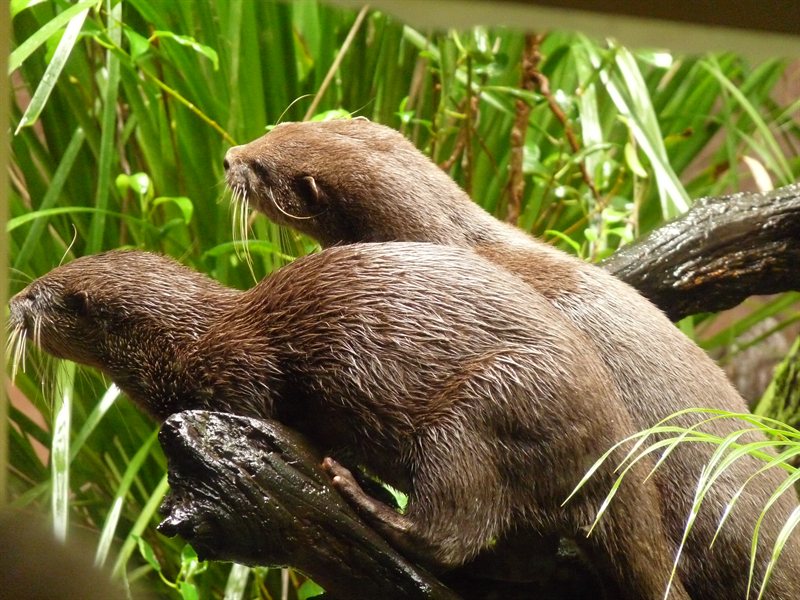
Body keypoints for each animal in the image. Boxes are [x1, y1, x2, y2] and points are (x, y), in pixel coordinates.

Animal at [10, 245, 687, 599]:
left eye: (47, 292)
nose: (14, 300)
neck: (185, 343)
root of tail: (614, 445)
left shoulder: (240, 364)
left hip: (479, 411)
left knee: (457, 525)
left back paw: (363, 495)